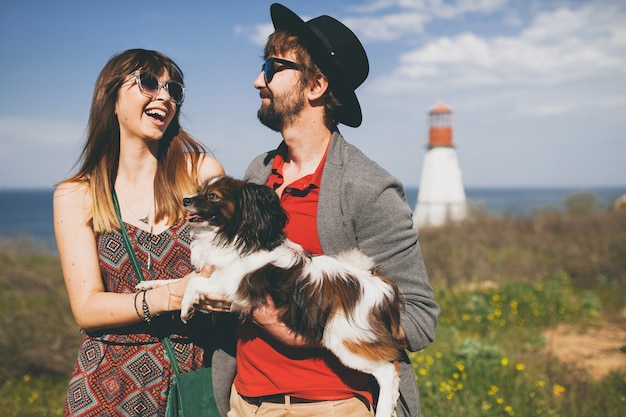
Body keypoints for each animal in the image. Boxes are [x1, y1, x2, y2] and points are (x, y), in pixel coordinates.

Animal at [138, 176, 404, 416]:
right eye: (200, 190)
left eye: (213, 196)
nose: (186, 200)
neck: (234, 237)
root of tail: (383, 290)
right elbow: (179, 281)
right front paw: (150, 286)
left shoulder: (232, 288)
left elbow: (193, 282)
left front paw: (186, 307)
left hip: (346, 343)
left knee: (388, 371)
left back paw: (383, 409)